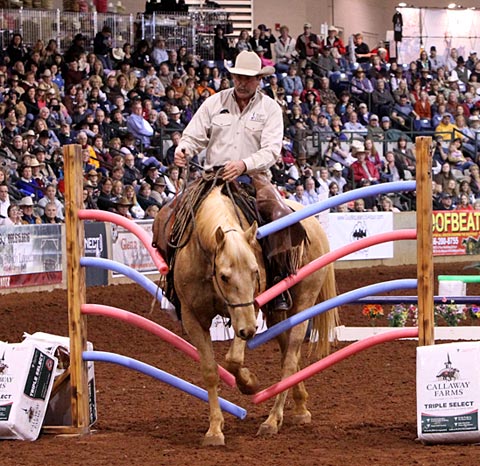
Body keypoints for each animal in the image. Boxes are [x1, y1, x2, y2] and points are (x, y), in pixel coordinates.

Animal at [154, 184, 338, 446]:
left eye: (255, 272)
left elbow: (233, 359)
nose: (249, 330)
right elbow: (210, 371)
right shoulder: (193, 318)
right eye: (224, 276)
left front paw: (249, 383)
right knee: (288, 356)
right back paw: (300, 407)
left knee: (290, 359)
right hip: (276, 315)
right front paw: (215, 429)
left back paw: (272, 420)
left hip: (303, 303)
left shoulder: (249, 309)